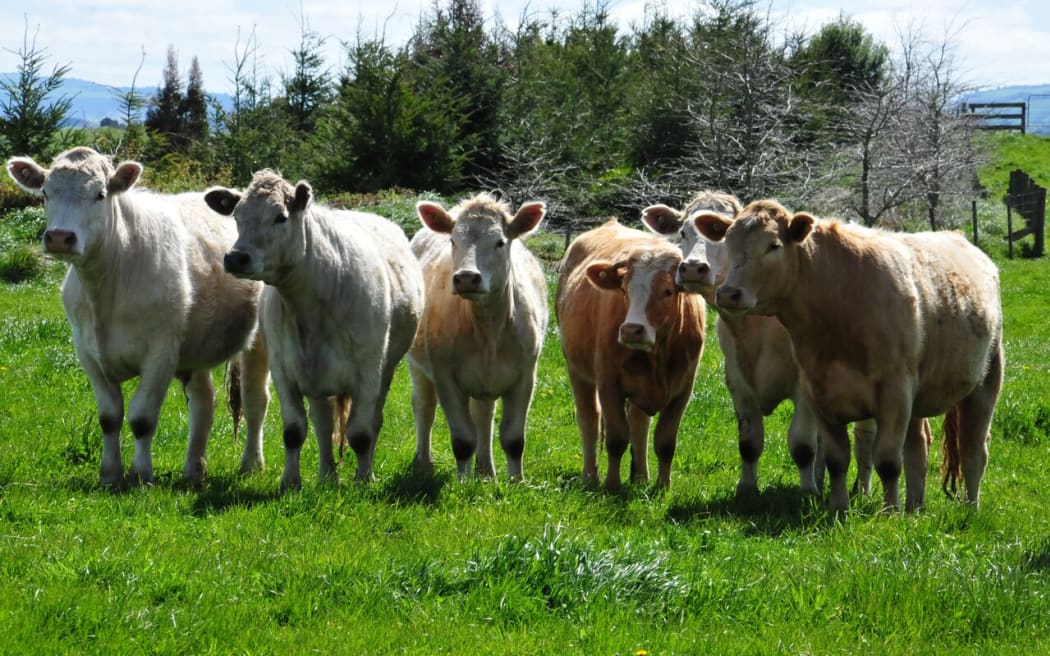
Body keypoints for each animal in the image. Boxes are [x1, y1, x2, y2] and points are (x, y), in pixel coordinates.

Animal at [6, 147, 270, 487]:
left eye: (100, 194)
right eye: (44, 193)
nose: (60, 237)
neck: (106, 287)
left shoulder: (161, 352)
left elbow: (142, 418)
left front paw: (142, 475)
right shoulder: (86, 351)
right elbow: (109, 417)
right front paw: (110, 474)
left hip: (260, 339)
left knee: (254, 399)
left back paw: (251, 464)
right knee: (203, 403)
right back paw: (193, 470)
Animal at [205, 170, 424, 491]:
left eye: (281, 217)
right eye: (237, 216)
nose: (236, 257)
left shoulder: (369, 371)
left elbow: (361, 433)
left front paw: (363, 479)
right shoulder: (285, 370)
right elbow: (294, 431)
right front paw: (290, 482)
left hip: (384, 370)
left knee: (373, 421)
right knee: (321, 422)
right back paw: (327, 475)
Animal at [408, 193, 548, 480]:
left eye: (500, 242)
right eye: (453, 240)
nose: (466, 277)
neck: (488, 330)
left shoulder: (526, 376)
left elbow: (513, 439)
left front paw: (517, 481)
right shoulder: (445, 376)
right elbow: (463, 440)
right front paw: (462, 482)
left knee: (483, 415)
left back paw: (485, 472)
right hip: (417, 367)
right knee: (424, 407)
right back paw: (424, 463)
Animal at [556, 218, 706, 491]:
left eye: (667, 291)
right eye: (624, 290)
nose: (631, 330)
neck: (657, 354)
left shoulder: (683, 390)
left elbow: (665, 441)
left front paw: (662, 487)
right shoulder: (608, 383)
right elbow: (617, 438)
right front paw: (612, 485)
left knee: (639, 423)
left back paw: (640, 477)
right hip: (577, 369)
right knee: (589, 419)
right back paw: (590, 476)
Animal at [695, 199, 1003, 513]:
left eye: (773, 245)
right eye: (727, 242)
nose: (729, 293)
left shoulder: (895, 391)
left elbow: (888, 461)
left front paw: (889, 513)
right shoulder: (818, 392)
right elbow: (836, 459)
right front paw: (839, 507)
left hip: (986, 381)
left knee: (973, 449)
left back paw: (970, 508)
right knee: (919, 447)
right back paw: (914, 509)